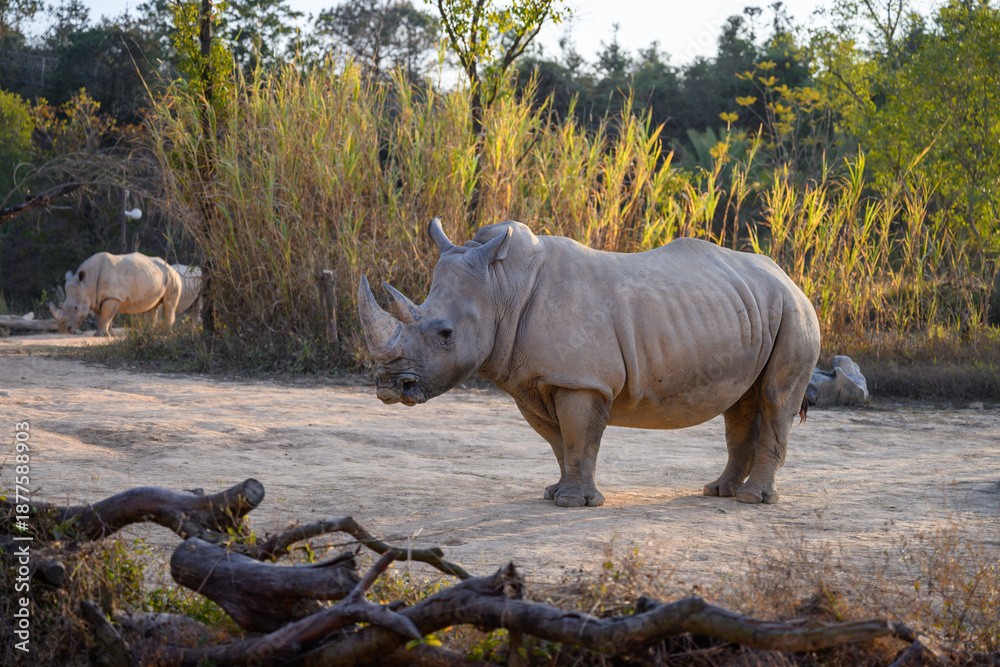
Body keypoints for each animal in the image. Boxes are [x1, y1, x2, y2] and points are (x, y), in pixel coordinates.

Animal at [49, 252, 183, 336]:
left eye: (76, 308)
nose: (63, 330)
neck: (87, 283)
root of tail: (170, 265)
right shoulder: (98, 298)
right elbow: (102, 317)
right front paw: (107, 334)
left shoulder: (112, 296)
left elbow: (105, 316)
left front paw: (100, 335)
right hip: (156, 276)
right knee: (152, 307)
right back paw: (150, 332)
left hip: (172, 276)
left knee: (169, 304)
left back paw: (165, 333)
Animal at [358, 219, 821, 507]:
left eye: (445, 334)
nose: (389, 386)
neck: (500, 286)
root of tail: (789, 278)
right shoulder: (532, 381)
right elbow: (559, 441)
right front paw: (554, 493)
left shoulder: (581, 380)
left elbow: (580, 437)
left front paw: (573, 503)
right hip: (753, 308)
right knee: (740, 404)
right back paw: (717, 492)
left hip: (795, 313)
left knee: (776, 398)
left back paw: (751, 500)